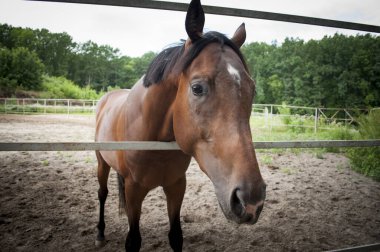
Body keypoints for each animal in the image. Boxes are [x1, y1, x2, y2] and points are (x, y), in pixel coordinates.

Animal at [95, 0, 268, 250]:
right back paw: (99, 233)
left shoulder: (176, 186)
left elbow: (176, 236)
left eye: (252, 89)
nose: (251, 200)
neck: (155, 144)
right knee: (102, 193)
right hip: (101, 162)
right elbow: (133, 240)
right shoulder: (134, 190)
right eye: (197, 88)